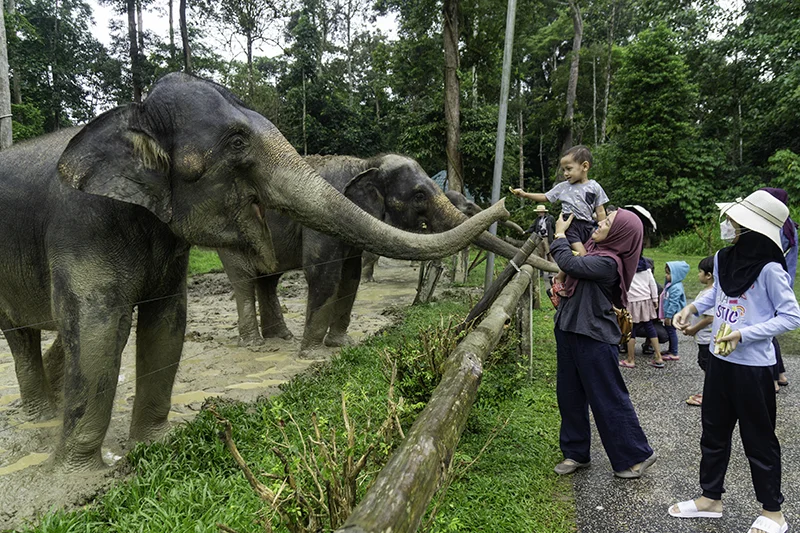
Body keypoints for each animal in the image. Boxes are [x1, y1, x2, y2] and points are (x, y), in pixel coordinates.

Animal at [0, 73, 507, 471]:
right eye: (238, 143)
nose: (506, 202)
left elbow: (169, 320)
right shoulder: (83, 223)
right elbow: (101, 325)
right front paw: (79, 474)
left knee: (264, 279)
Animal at [217, 153, 557, 355]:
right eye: (418, 195)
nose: (506, 204)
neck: (364, 162)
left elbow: (350, 274)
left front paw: (341, 345)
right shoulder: (320, 214)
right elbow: (323, 272)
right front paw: (312, 354)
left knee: (268, 278)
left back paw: (281, 338)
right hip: (229, 229)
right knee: (244, 277)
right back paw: (255, 344)